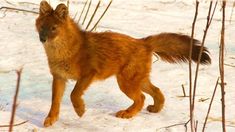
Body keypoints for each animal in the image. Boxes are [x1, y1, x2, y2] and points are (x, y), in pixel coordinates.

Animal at [35, 0, 211, 127]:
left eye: (54, 28)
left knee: (141, 98)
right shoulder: (59, 77)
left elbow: (74, 94)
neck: (63, 53)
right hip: (137, 80)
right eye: (42, 27)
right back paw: (154, 109)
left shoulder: (88, 74)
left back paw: (127, 114)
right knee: (157, 91)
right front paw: (51, 119)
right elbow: (55, 101)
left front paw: (80, 110)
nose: (42, 39)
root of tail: (143, 42)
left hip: (126, 82)